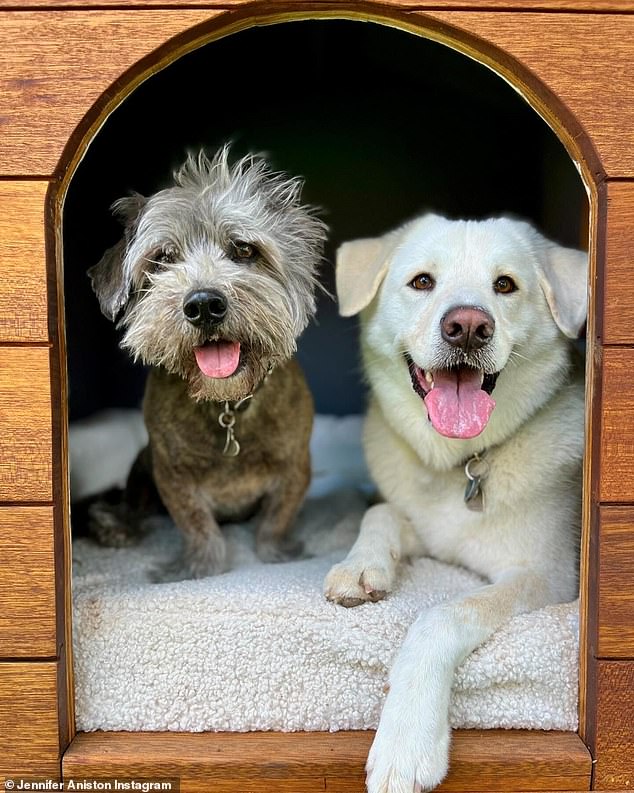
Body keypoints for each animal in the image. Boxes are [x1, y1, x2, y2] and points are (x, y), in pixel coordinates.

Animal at [87, 147, 326, 576]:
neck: (226, 403)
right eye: (163, 258)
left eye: (244, 250)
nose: (203, 305)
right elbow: (198, 525)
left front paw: (276, 555)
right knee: (130, 503)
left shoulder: (296, 467)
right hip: (141, 466)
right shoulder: (170, 474)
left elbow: (275, 521)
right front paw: (199, 567)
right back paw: (113, 525)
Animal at [324, 213, 584, 792]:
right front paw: (361, 565)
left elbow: (443, 616)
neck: (461, 460)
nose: (467, 326)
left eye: (505, 285)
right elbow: (380, 511)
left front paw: (406, 740)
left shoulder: (548, 575)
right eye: (422, 281)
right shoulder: (417, 518)